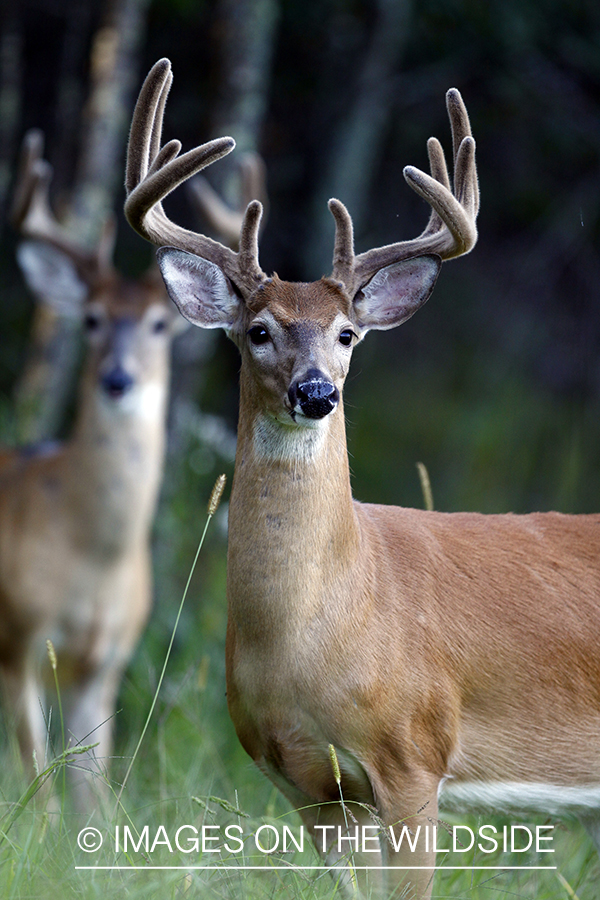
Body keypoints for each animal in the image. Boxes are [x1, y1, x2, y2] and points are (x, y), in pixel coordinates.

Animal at [0, 125, 185, 808]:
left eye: (159, 324)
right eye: (92, 318)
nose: (117, 379)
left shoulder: (104, 663)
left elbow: (93, 796)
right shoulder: (18, 637)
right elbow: (41, 788)